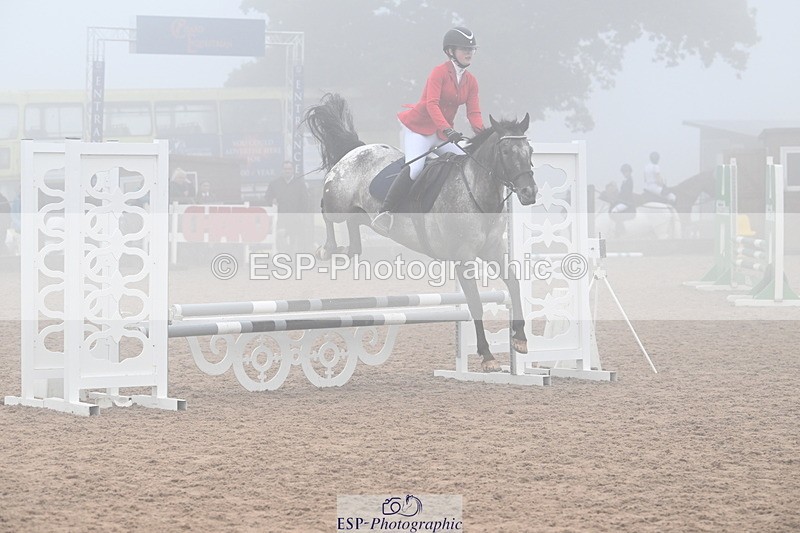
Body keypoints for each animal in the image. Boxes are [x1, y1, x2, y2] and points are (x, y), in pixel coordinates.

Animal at [304, 93, 538, 372]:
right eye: (505, 151)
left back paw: (344, 250)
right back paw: (326, 249)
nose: (529, 193)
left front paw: (520, 339)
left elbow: (513, 284)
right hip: (337, 203)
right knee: (326, 212)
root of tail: (357, 149)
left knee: (354, 236)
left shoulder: (494, 250)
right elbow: (475, 303)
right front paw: (488, 356)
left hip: (360, 214)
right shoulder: (463, 257)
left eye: (529, 151)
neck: (477, 190)